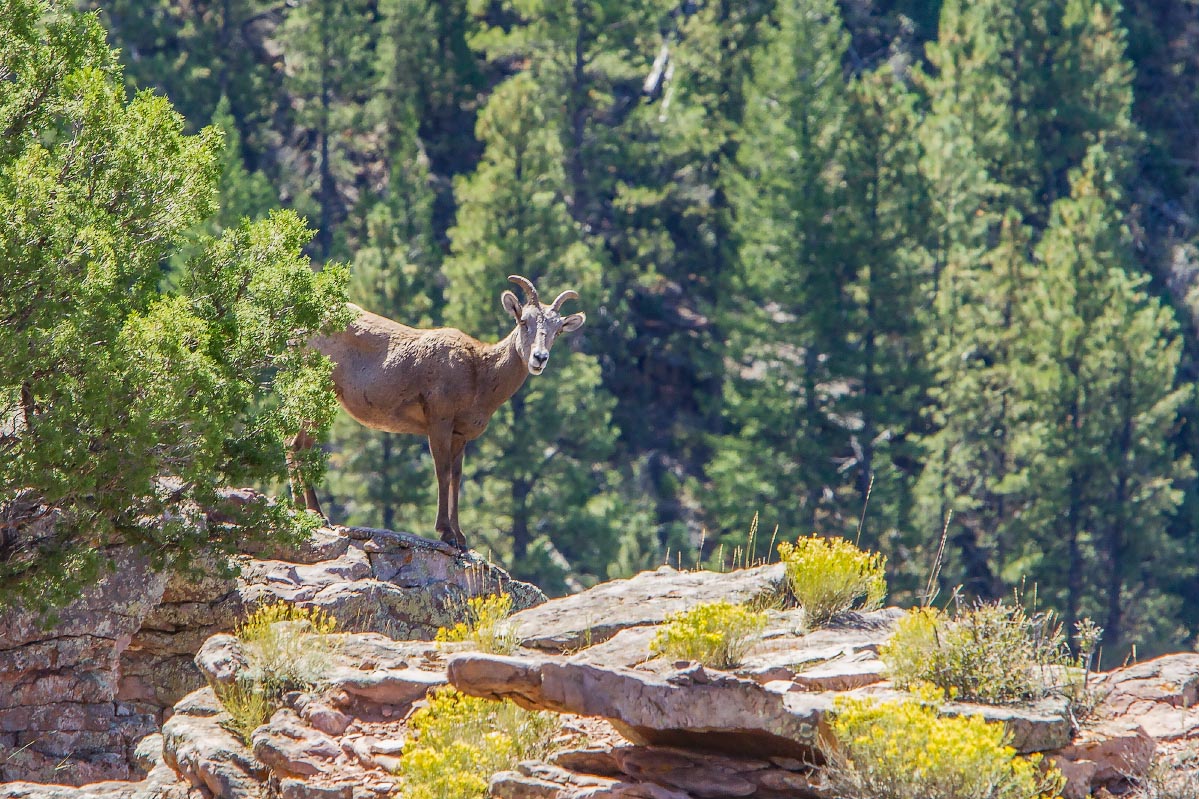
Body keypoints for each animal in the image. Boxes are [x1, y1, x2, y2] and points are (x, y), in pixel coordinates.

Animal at [292, 273, 587, 547]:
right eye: (523, 321)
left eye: (558, 330)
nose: (539, 358)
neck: (478, 374)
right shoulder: (439, 423)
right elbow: (442, 473)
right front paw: (446, 533)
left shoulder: (460, 435)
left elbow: (456, 478)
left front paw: (461, 538)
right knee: (300, 447)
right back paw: (317, 514)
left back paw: (301, 510)